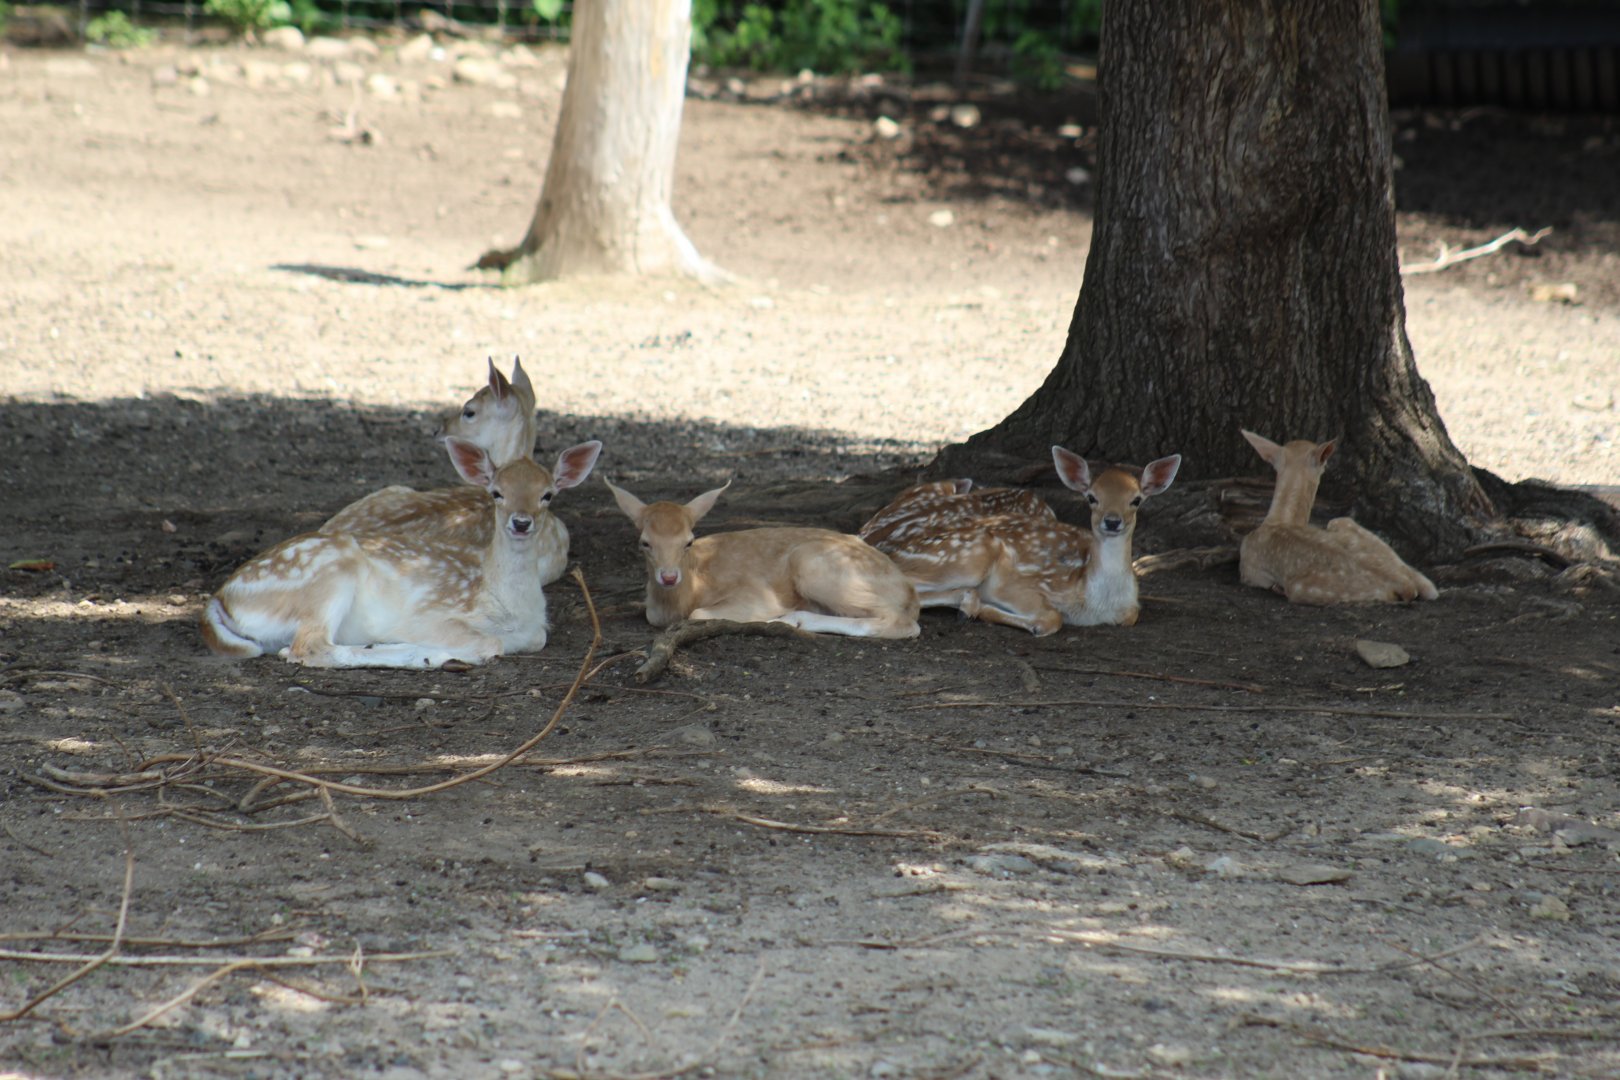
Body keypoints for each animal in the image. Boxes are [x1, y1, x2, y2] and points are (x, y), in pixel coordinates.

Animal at [201, 437, 602, 668]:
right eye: (496, 492)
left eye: (547, 494)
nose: (521, 522)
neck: (508, 606)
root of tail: (220, 598)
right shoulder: (430, 616)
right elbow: (490, 642)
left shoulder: (535, 633)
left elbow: (532, 638)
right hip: (328, 577)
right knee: (309, 648)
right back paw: (420, 654)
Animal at [604, 478, 921, 639]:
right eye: (645, 542)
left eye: (688, 541)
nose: (669, 576)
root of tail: (909, 591)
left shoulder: (755, 594)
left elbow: (698, 614)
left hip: (816, 565)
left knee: (904, 624)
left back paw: (790, 620)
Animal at [865, 446, 1182, 635]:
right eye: (1092, 497)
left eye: (1136, 500)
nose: (1112, 521)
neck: (1098, 601)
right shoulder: (1020, 585)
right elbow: (1051, 619)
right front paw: (986, 610)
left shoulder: (1130, 611)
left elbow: (1131, 615)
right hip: (971, 555)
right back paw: (968, 605)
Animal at [1237, 429, 1438, 604]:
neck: (1280, 519)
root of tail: (1405, 586)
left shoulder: (1248, 569)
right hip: (1346, 524)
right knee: (1431, 589)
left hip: (1299, 587)